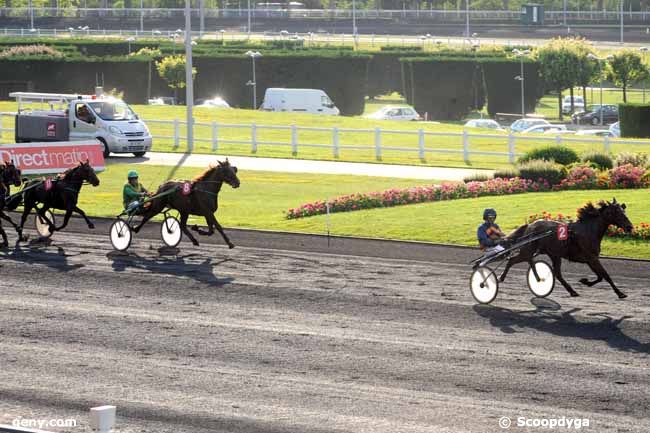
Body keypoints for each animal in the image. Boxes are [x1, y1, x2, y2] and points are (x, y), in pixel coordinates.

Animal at [110, 160, 239, 251]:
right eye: (227, 171)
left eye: (234, 170)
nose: (237, 183)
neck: (206, 189)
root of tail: (161, 186)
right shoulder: (207, 212)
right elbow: (218, 227)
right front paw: (230, 243)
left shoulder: (208, 213)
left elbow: (212, 230)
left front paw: (197, 228)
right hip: (159, 206)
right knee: (147, 216)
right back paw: (133, 229)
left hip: (184, 211)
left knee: (182, 226)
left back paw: (194, 240)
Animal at [470, 199, 632, 304]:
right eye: (617, 213)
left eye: (624, 211)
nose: (630, 227)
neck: (587, 230)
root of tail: (530, 226)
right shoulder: (591, 258)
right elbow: (605, 276)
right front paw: (620, 293)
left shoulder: (590, 259)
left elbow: (600, 276)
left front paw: (585, 281)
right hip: (530, 251)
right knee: (512, 260)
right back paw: (497, 278)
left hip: (553, 254)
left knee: (555, 272)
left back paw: (569, 290)